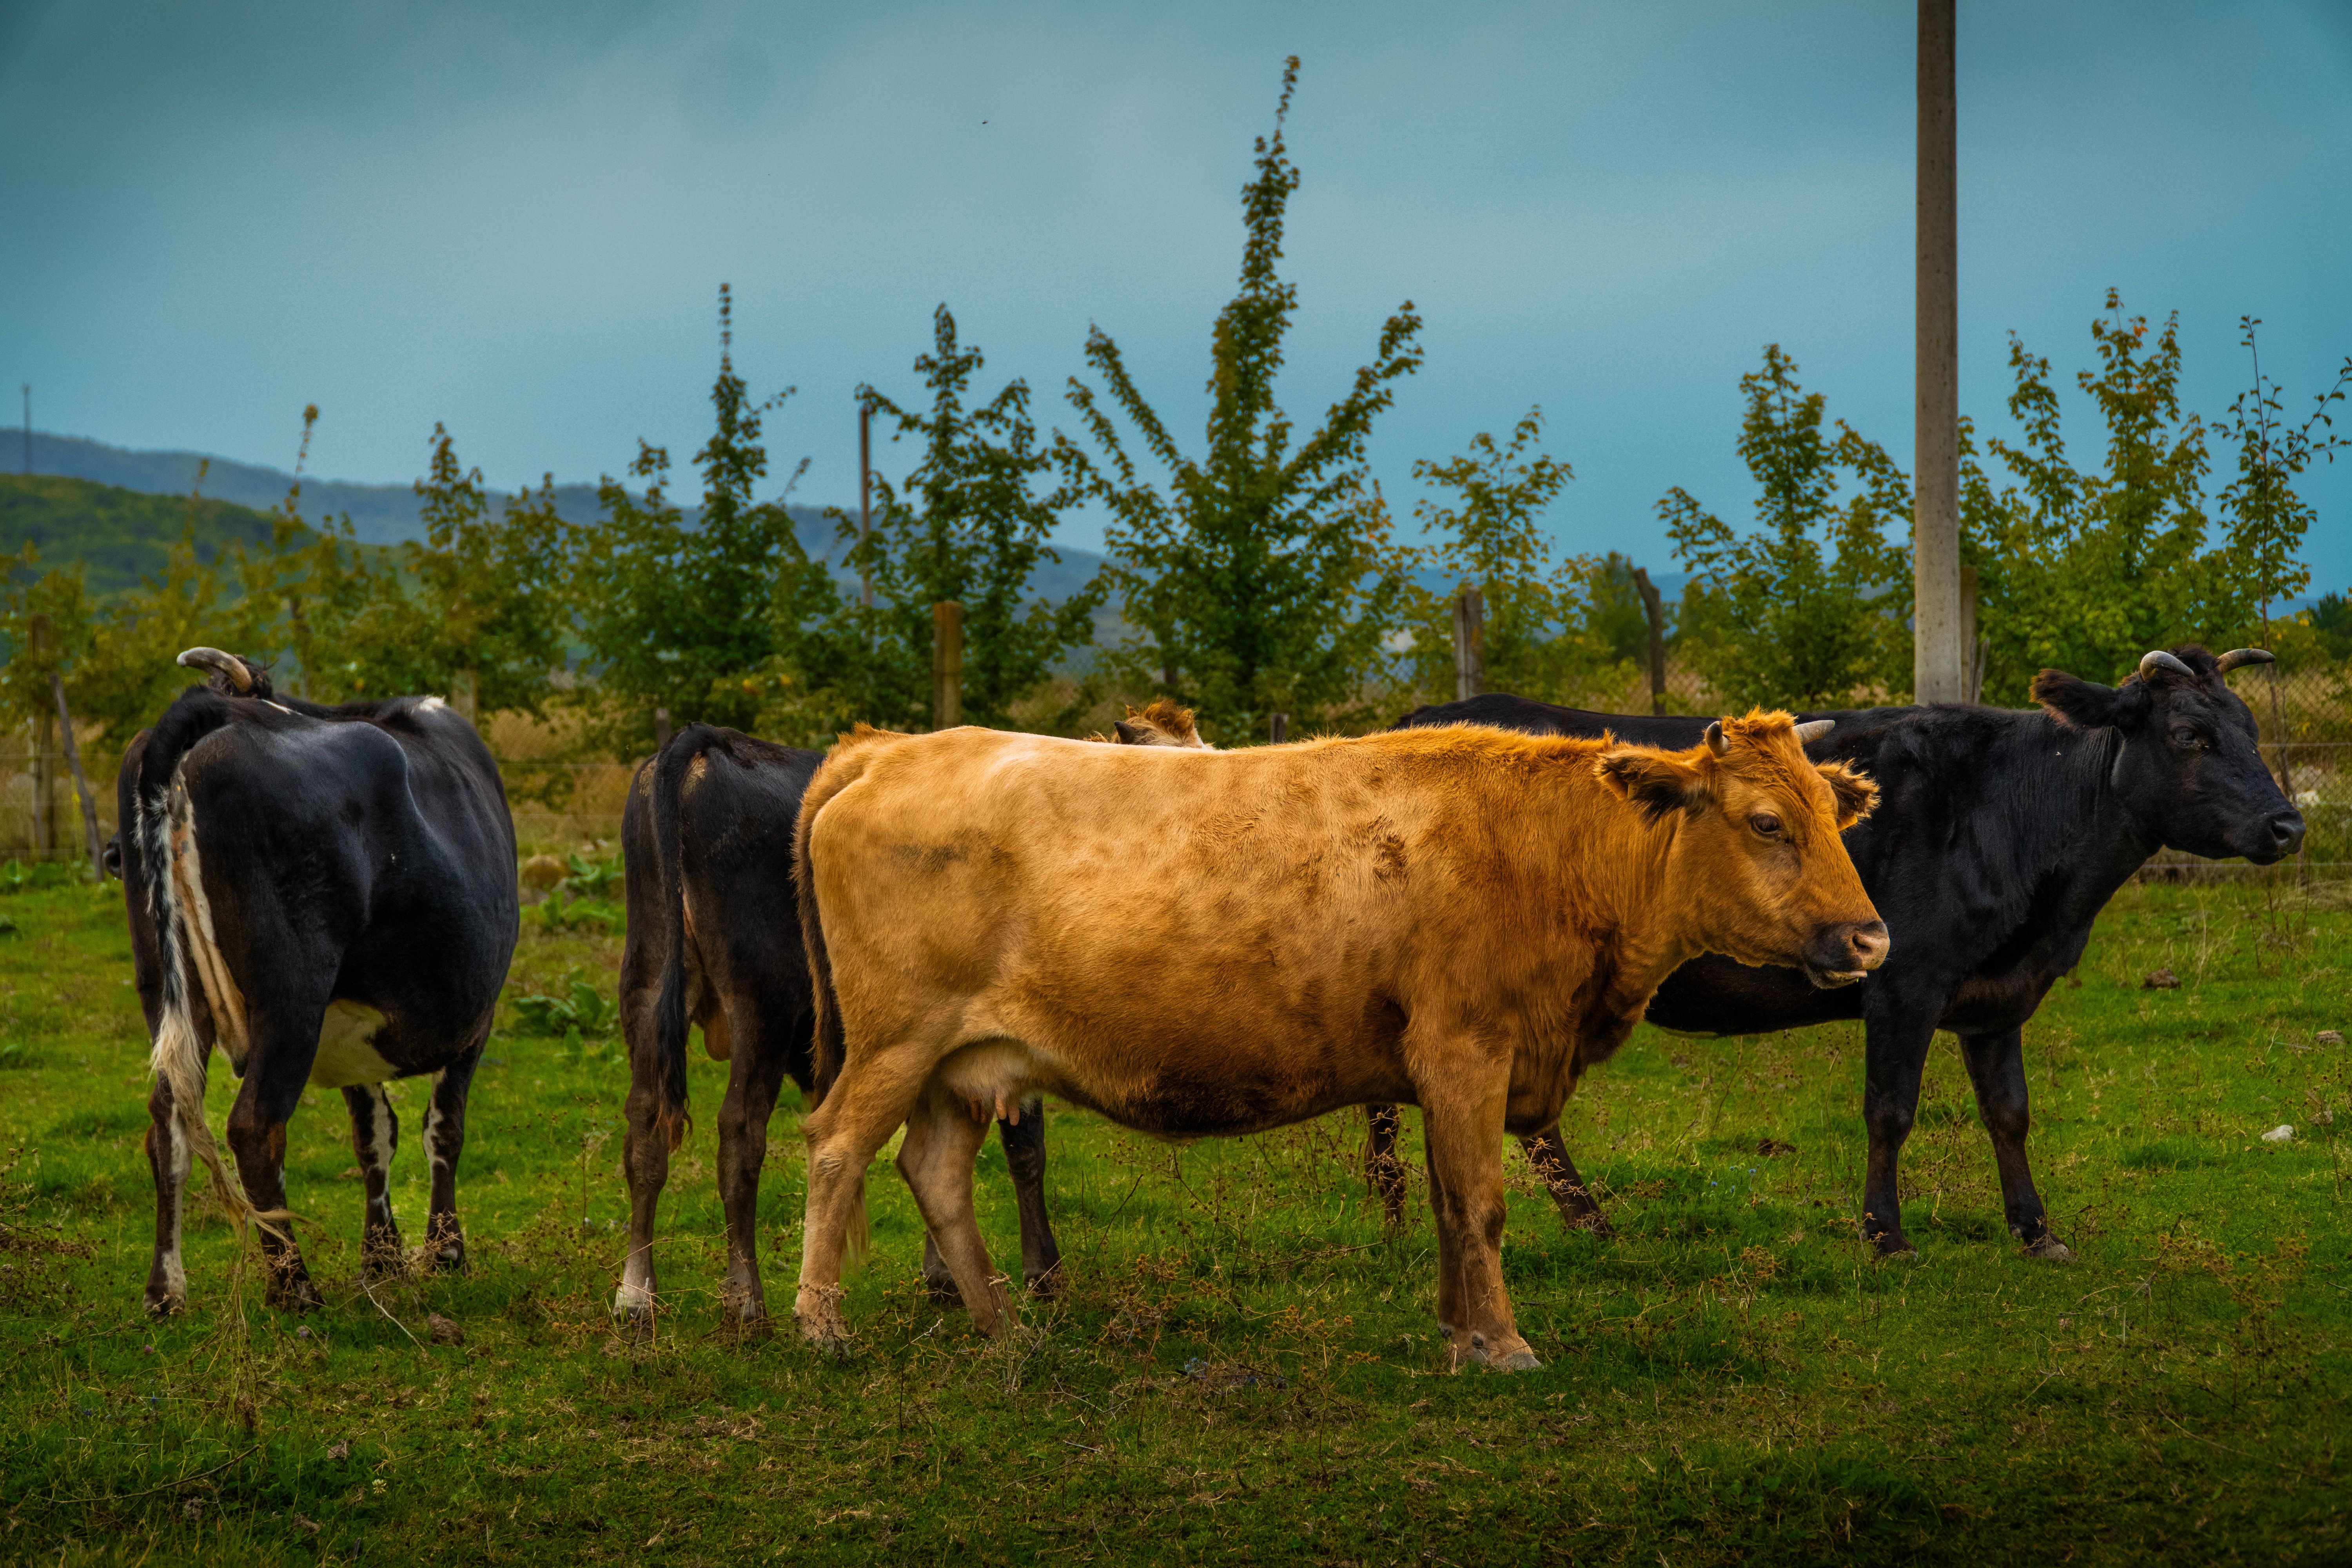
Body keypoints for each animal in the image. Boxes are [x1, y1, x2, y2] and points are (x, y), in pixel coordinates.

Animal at [119, 648, 519, 1314]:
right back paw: (294, 1287)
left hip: (166, 985)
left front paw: (383, 1258)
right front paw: (445, 1253)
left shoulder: (353, 1035)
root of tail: (218, 707)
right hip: (292, 992)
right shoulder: (473, 1024)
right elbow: (445, 1128)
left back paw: (165, 1290)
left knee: (167, 1120)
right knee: (254, 1126)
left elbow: (374, 1135)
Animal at [615, 700, 1208, 1325]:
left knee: (646, 1127)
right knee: (740, 1132)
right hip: (762, 1002)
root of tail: (706, 742)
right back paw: (747, 1299)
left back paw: (636, 1296)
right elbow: (1025, 1149)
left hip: (648, 981)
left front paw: (946, 1273)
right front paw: (1041, 1274)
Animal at [789, 712, 1886, 1369]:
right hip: (894, 1040)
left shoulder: (1440, 1071)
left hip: (957, 1064)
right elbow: (1481, 1203)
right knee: (838, 1148)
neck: (1549, 849)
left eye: (1832, 815)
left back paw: (1004, 1324)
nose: (1869, 937)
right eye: (1764, 821)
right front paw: (1504, 1343)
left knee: (932, 1170)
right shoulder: (1467, 1050)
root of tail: (891, 745)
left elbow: (1446, 1203)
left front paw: (1459, 1332)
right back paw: (820, 1323)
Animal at [1375, 644, 2305, 1261]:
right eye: (2189, 734)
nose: (2288, 824)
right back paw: (1406, 1219)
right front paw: (1886, 1234)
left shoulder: (1997, 995)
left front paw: (2037, 1231)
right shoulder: (1904, 980)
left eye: (2250, 728)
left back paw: (1564, 1220)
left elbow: (2010, 1112)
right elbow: (1890, 1111)